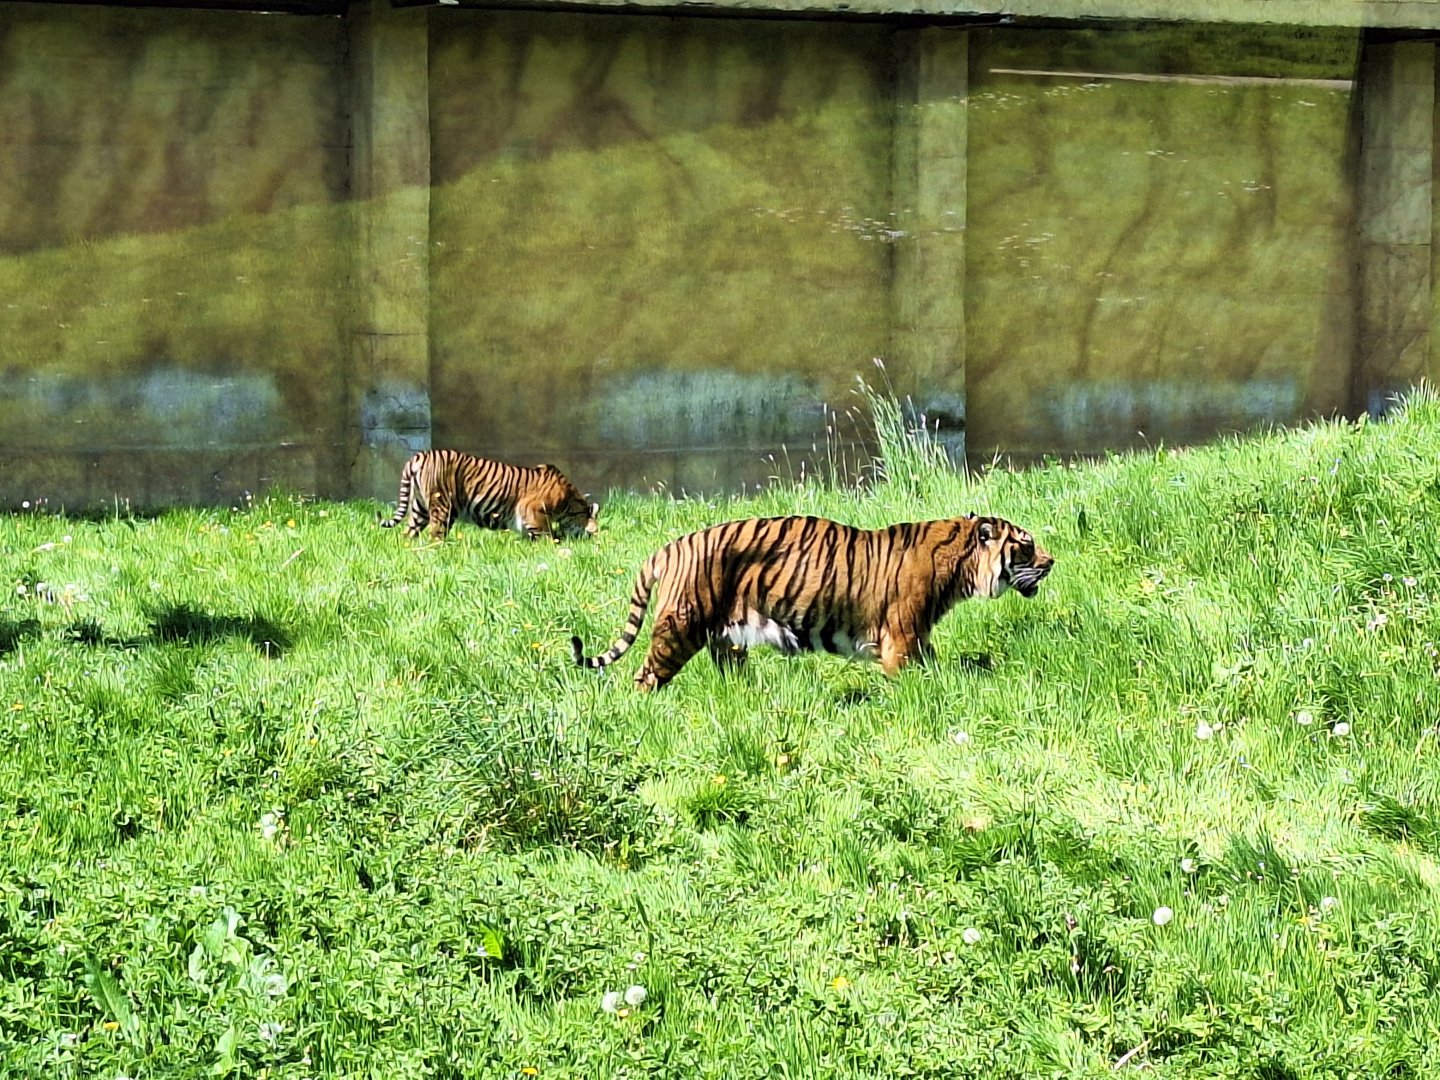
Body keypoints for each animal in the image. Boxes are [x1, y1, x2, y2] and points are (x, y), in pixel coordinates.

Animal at [379, 450, 598, 542]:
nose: (594, 536)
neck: (569, 502)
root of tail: (418, 457)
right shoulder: (532, 511)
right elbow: (547, 534)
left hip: (419, 508)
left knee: (409, 533)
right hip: (442, 508)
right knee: (436, 535)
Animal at [571, 513, 1052, 690]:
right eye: (1026, 546)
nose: (1052, 562)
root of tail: (668, 549)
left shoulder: (918, 636)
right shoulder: (901, 637)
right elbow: (908, 680)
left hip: (726, 638)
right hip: (681, 626)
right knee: (646, 674)